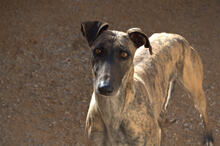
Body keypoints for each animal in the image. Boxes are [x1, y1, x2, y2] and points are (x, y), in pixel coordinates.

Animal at [80, 20, 213, 146]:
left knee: (204, 113)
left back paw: (209, 136)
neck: (113, 114)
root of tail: (175, 36)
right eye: (98, 51)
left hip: (195, 92)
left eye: (124, 54)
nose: (104, 87)